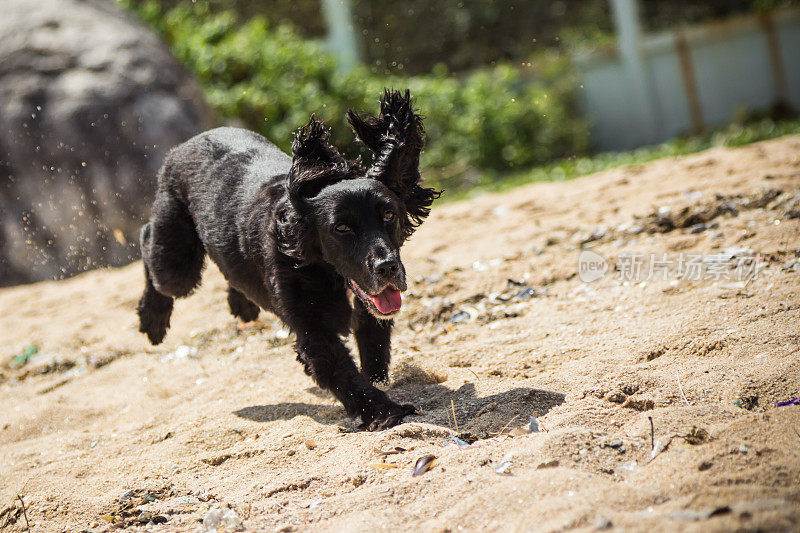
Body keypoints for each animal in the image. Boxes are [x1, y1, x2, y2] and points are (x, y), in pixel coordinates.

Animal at [136, 90, 438, 428]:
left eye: (388, 214)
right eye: (341, 228)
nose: (387, 267)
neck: (324, 270)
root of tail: (185, 144)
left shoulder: (370, 312)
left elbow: (374, 354)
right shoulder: (314, 330)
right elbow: (344, 373)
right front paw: (385, 412)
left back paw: (242, 304)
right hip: (177, 264)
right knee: (149, 244)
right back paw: (152, 319)